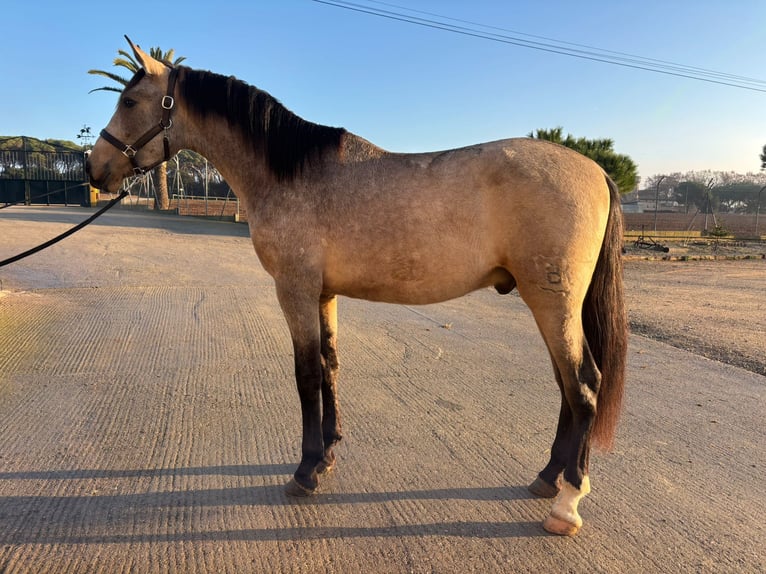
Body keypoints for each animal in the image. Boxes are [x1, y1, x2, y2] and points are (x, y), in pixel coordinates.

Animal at [86, 38, 627, 537]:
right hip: (551, 305)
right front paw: (327, 454)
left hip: (552, 302)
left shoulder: (295, 291)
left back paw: (567, 504)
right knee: (567, 386)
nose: (95, 169)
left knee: (583, 387)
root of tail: (596, 171)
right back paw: (548, 477)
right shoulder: (323, 294)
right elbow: (330, 365)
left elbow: (306, 374)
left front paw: (305, 471)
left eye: (129, 102)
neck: (290, 173)